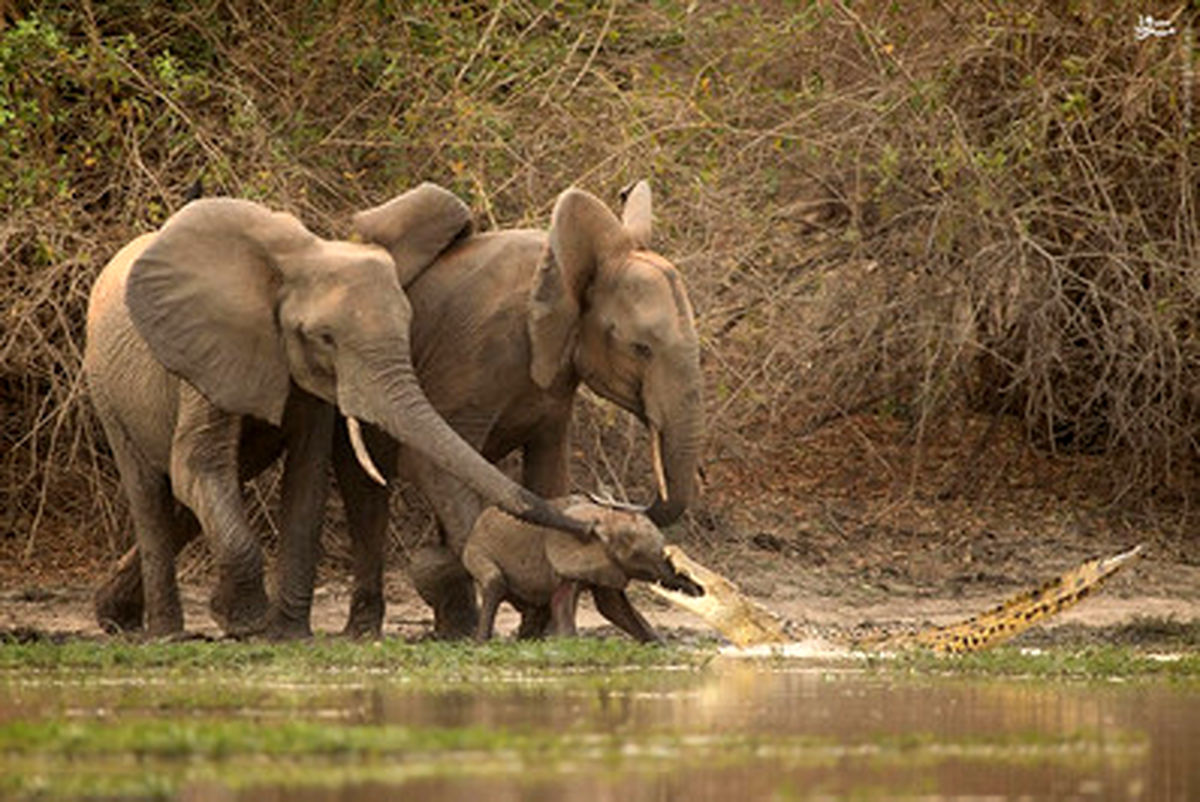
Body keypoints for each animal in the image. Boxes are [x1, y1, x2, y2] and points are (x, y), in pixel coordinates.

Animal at [83, 186, 590, 638]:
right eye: (324, 337)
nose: (586, 526)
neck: (300, 262)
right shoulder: (207, 353)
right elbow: (198, 462)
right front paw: (242, 622)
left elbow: (305, 478)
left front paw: (287, 634)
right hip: (105, 385)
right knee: (152, 491)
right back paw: (161, 632)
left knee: (214, 485)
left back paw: (117, 615)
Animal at [460, 494, 700, 643]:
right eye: (637, 556)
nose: (698, 590)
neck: (607, 517)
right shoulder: (566, 558)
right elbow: (563, 601)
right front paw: (569, 643)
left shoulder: (606, 563)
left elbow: (614, 606)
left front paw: (662, 646)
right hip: (476, 551)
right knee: (494, 583)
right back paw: (482, 644)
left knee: (536, 609)